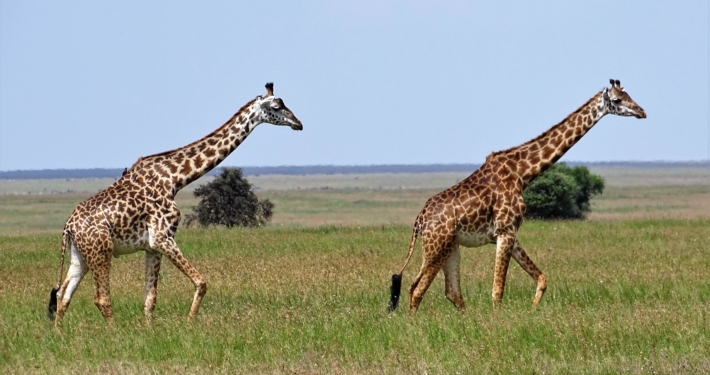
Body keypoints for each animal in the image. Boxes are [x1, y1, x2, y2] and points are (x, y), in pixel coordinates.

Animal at [46, 82, 304, 326]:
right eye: (276, 107)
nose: (298, 123)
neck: (175, 179)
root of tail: (69, 226)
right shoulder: (163, 237)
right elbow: (201, 282)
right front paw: (189, 323)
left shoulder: (152, 246)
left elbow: (150, 298)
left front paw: (149, 331)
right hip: (101, 250)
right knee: (100, 298)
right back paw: (114, 334)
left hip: (81, 255)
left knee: (63, 295)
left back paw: (59, 335)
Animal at [392, 79, 648, 314]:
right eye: (617, 100)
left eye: (629, 95)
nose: (642, 111)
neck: (522, 174)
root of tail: (420, 220)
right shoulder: (505, 231)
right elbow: (498, 290)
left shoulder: (510, 234)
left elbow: (541, 279)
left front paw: (532, 311)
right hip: (437, 245)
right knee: (417, 289)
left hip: (450, 247)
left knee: (450, 292)